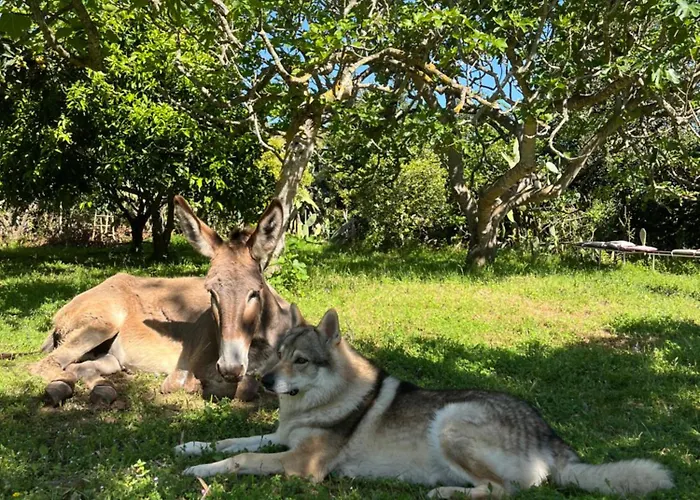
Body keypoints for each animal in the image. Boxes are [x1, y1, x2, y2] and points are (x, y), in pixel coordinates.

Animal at [176, 306, 673, 498]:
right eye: (278, 354)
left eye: (300, 361)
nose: (264, 380)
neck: (319, 402)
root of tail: (552, 438)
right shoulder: (280, 438)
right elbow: (232, 441)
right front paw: (189, 448)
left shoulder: (302, 465)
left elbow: (240, 458)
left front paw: (199, 470)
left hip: (451, 422)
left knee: (502, 491)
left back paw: (443, 492)